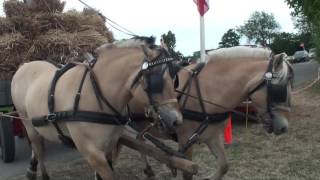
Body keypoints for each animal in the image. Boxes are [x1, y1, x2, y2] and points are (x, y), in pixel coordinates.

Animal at [10, 37, 182, 180]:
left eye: (174, 77)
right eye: (157, 80)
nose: (177, 121)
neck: (95, 92)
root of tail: (24, 66)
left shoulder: (109, 146)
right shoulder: (92, 154)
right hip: (26, 122)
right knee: (38, 148)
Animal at [127, 47, 292, 179]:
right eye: (280, 90)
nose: (284, 127)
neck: (207, 91)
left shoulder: (212, 136)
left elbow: (223, 166)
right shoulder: (185, 140)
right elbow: (187, 173)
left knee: (139, 139)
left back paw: (148, 169)